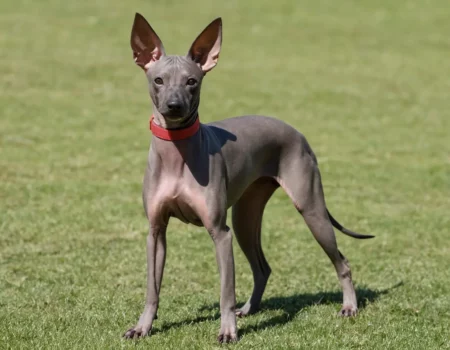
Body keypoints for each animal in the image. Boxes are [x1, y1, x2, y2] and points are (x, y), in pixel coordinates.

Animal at [122, 13, 372, 342]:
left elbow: (226, 291)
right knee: (262, 268)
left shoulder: (220, 232)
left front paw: (228, 331)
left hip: (309, 210)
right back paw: (250, 309)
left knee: (341, 261)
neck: (177, 154)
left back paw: (349, 306)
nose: (174, 106)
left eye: (192, 81)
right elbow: (152, 289)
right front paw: (143, 327)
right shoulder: (155, 231)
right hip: (245, 216)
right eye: (158, 80)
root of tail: (297, 133)